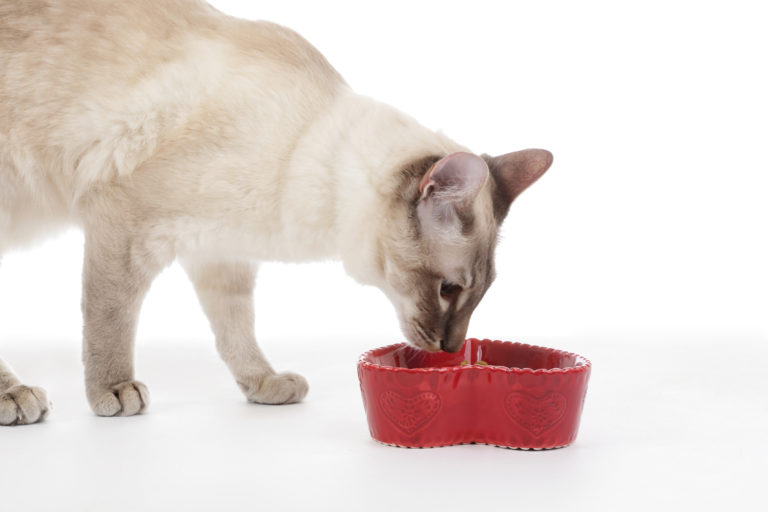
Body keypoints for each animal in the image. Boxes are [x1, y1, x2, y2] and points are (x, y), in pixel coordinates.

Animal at [0, 0, 552, 424]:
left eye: (477, 294)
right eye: (449, 290)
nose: (451, 349)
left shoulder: (220, 254)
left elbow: (236, 330)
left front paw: (263, 384)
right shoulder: (125, 225)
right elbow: (110, 321)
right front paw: (113, 391)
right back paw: (16, 398)